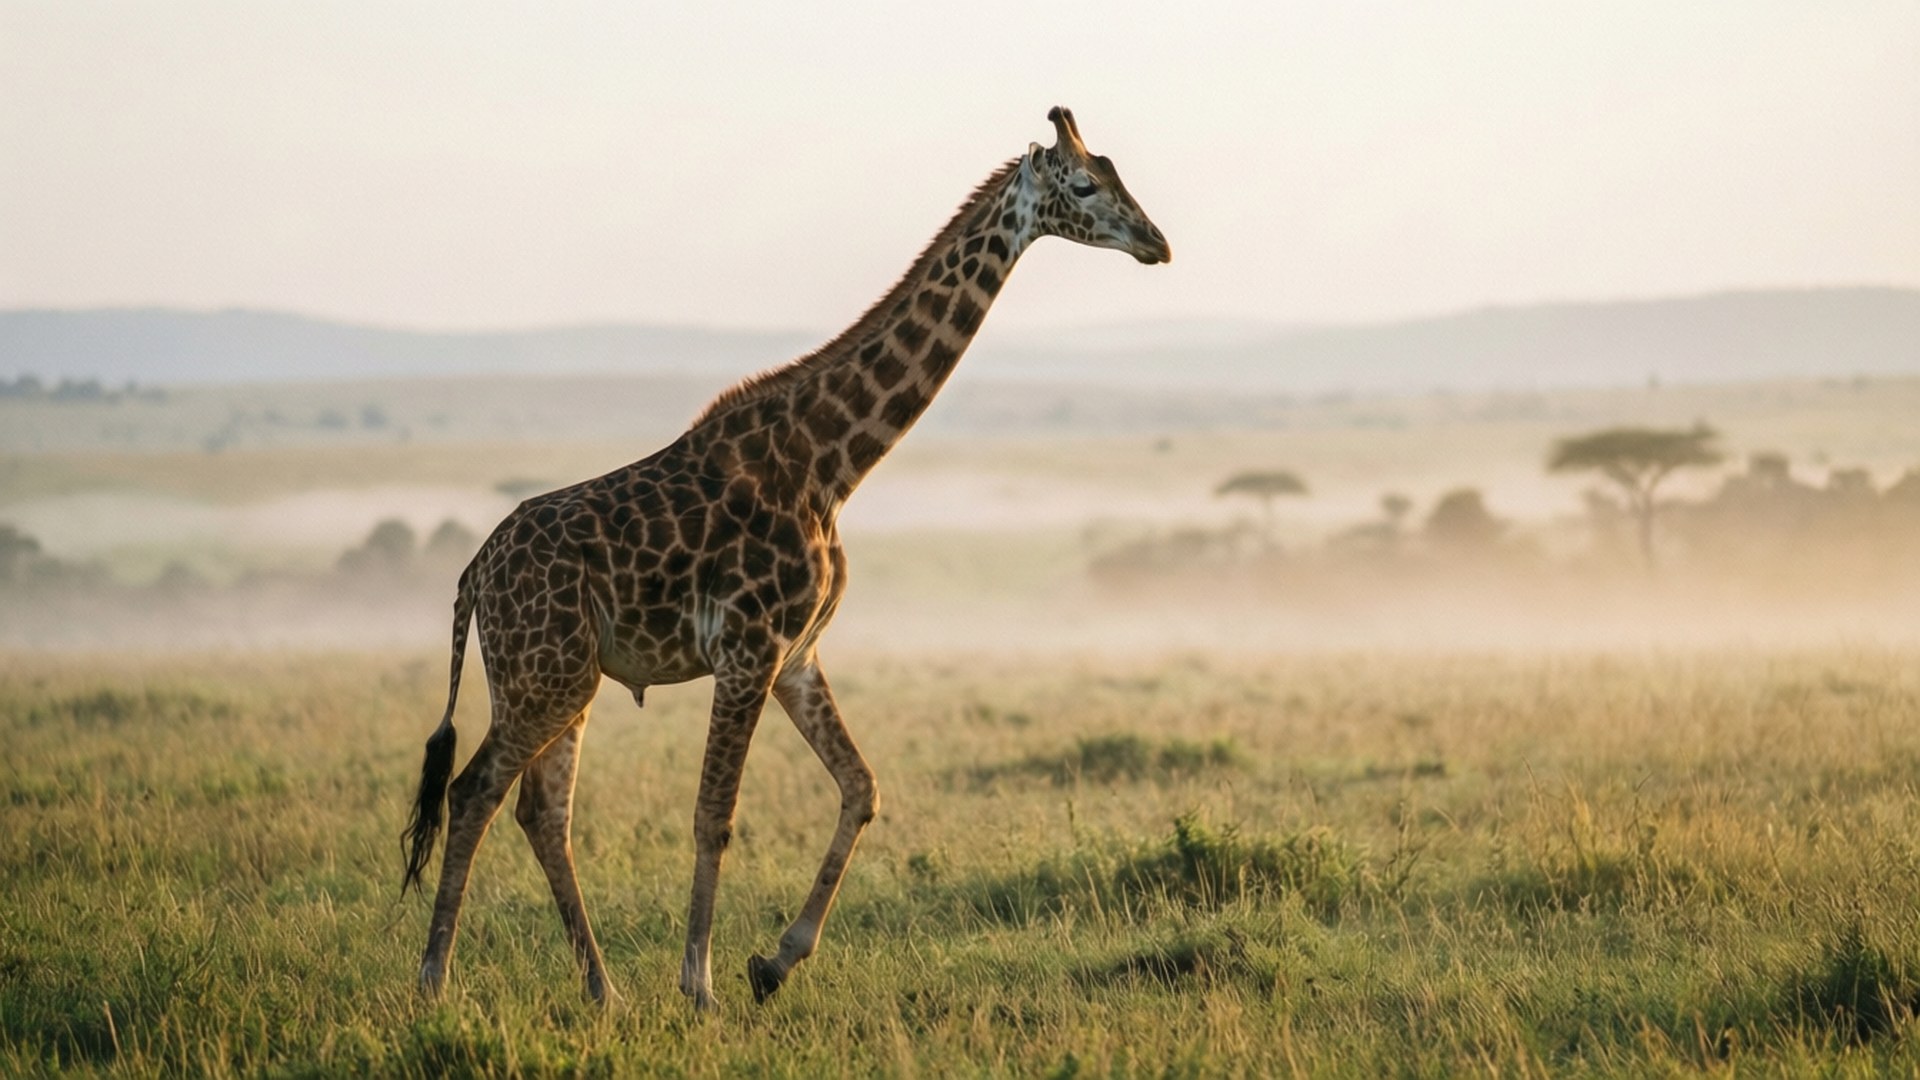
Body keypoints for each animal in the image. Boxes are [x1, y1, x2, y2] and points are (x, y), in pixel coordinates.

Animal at [400, 106, 1170, 1010]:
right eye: (1083, 185)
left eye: (1116, 173)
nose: (1156, 243)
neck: (830, 464)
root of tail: (473, 577)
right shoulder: (747, 650)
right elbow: (715, 815)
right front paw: (700, 985)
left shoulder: (797, 655)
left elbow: (862, 787)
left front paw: (774, 961)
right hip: (544, 678)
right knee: (473, 793)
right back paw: (434, 981)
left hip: (563, 679)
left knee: (540, 812)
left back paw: (603, 990)